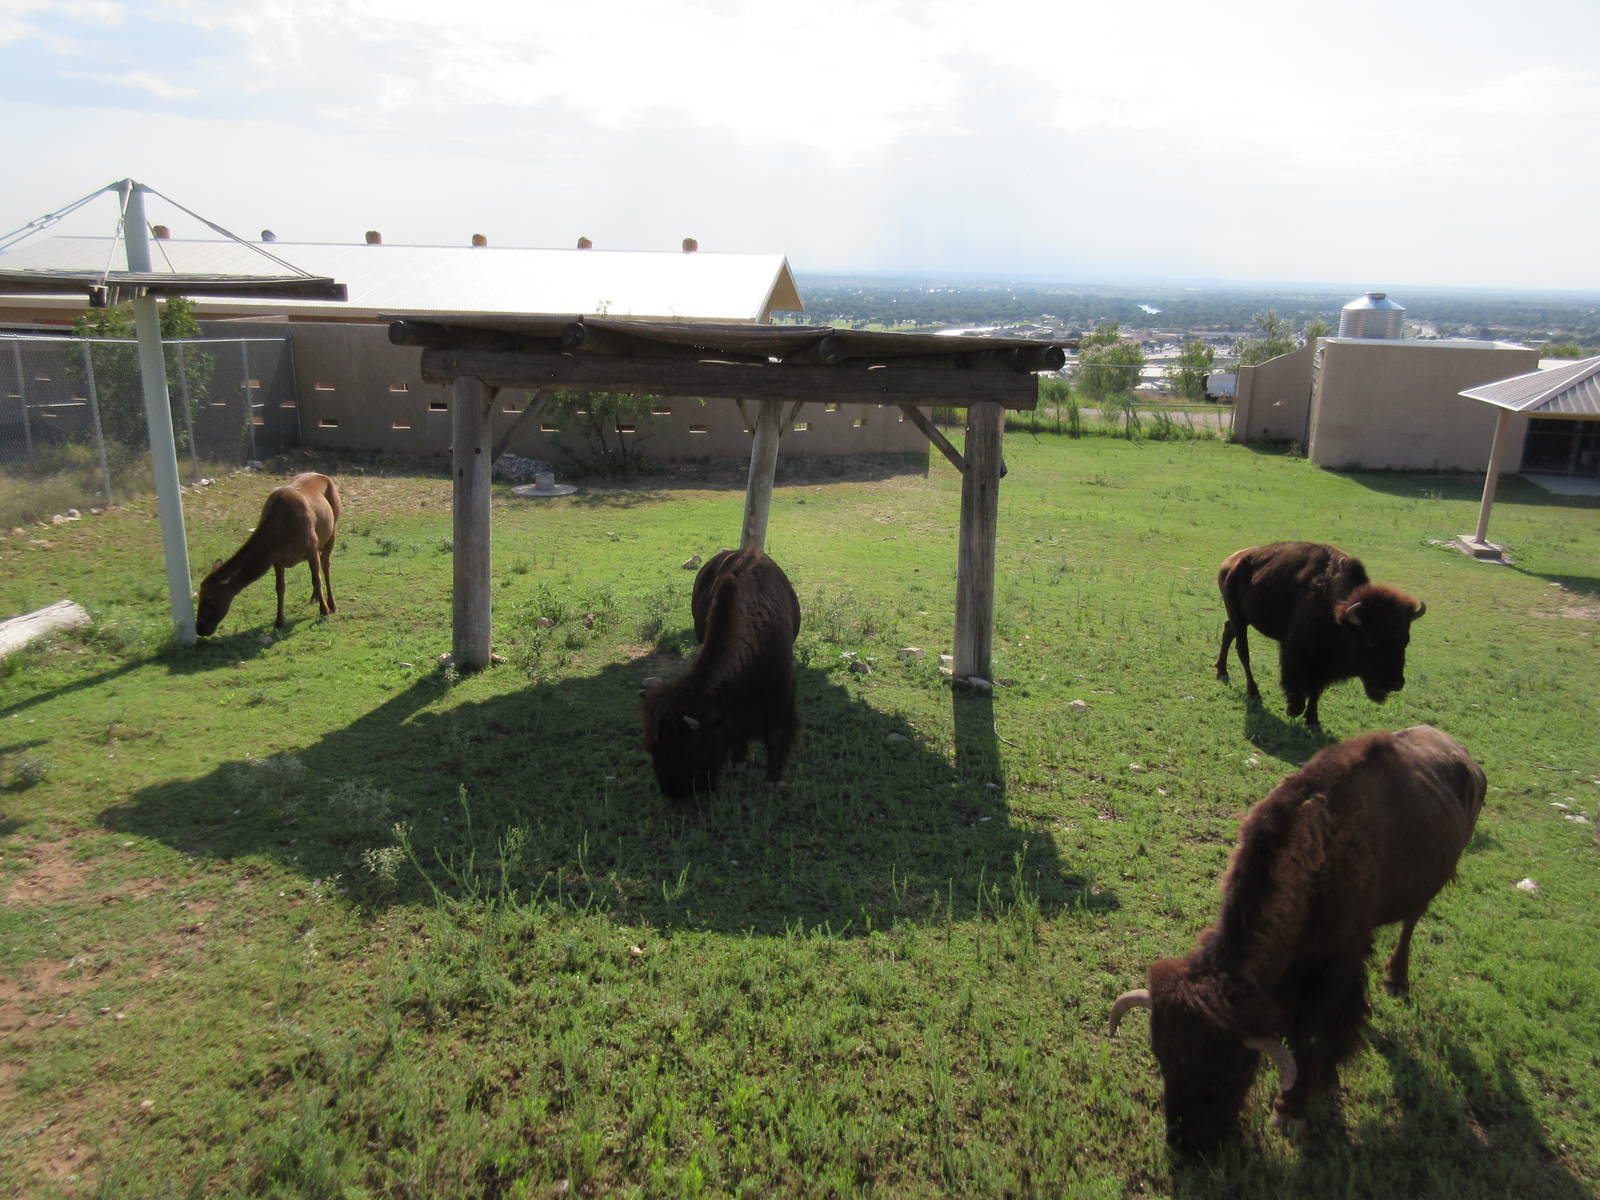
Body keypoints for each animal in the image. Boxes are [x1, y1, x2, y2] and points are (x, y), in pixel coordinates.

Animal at [641, 548, 801, 798]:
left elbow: (776, 734)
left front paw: (774, 780)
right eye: (653, 748)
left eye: (686, 748)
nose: (673, 792)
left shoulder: (782, 689)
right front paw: (739, 760)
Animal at [1109, 725, 1485, 1149]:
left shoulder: (1341, 962)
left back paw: (1397, 981)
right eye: (1162, 1057)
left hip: (1430, 887)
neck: (1318, 848)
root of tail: (1467, 761)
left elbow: (1313, 1036)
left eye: (1225, 1072)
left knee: (1410, 924)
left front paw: (1291, 1110)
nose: (1184, 1142)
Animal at [1214, 541, 1425, 728]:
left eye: (1405, 641)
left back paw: (1221, 671)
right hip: (1237, 615)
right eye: (1371, 642)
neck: (1338, 616)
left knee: (1227, 631)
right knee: (1243, 650)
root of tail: (1230, 562)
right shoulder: (1296, 652)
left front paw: (1313, 720)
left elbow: (1316, 688)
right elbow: (1297, 680)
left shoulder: (1323, 665)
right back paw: (1253, 692)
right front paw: (1294, 709)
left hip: (1241, 617)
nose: (1395, 683)